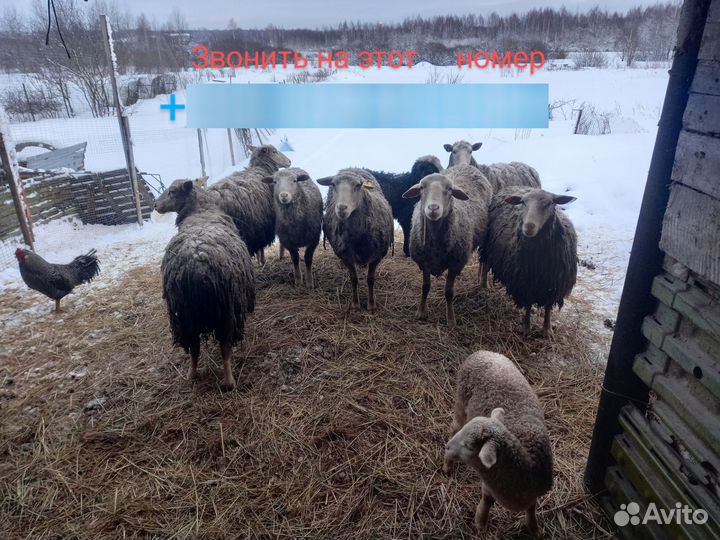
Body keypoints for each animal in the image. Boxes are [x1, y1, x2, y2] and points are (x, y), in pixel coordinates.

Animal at [156, 179, 256, 391]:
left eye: (172, 191)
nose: (155, 205)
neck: (201, 210)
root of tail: (196, 268)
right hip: (226, 312)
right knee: (225, 348)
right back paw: (229, 382)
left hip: (184, 315)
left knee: (194, 348)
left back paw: (192, 374)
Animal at [317, 168, 393, 311]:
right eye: (333, 184)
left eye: (358, 185)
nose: (341, 208)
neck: (358, 237)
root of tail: (352, 167)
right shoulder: (345, 255)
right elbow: (354, 279)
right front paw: (355, 304)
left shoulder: (377, 256)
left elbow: (370, 279)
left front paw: (371, 304)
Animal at [401, 165, 492, 328]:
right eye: (422, 187)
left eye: (449, 189)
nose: (433, 208)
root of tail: (466, 166)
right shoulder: (424, 262)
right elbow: (425, 287)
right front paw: (421, 312)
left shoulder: (454, 263)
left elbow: (449, 292)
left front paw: (451, 319)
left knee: (485, 261)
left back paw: (483, 283)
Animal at [443, 350, 553, 537]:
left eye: (469, 446)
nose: (448, 447)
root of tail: (482, 352)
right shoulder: (489, 483)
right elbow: (487, 500)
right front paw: (481, 522)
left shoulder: (533, 493)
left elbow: (532, 508)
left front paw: (534, 528)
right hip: (461, 402)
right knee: (453, 427)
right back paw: (447, 466)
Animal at [483, 187, 577, 337]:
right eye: (523, 202)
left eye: (550, 203)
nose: (528, 226)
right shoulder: (525, 282)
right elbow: (527, 305)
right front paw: (526, 328)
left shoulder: (553, 284)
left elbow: (548, 308)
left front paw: (547, 329)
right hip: (487, 246)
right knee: (484, 266)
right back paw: (483, 285)